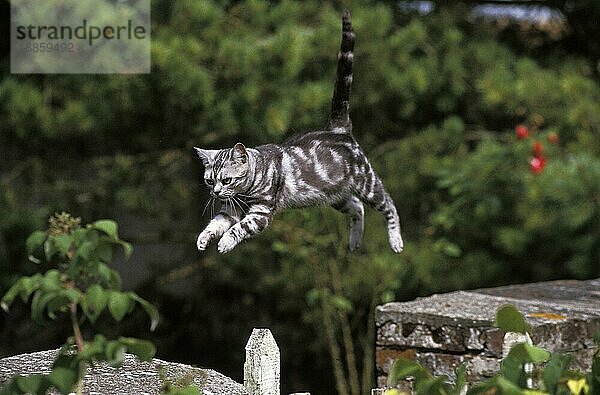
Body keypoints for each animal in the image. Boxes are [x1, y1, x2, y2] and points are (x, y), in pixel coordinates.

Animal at [195, 11, 406, 256]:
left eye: (227, 180)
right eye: (210, 181)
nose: (216, 192)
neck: (249, 187)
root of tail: (337, 128)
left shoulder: (260, 213)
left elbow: (238, 228)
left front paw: (226, 242)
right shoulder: (230, 210)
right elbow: (215, 224)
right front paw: (203, 239)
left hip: (367, 184)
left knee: (389, 205)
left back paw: (396, 241)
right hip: (335, 195)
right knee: (358, 207)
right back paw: (354, 242)